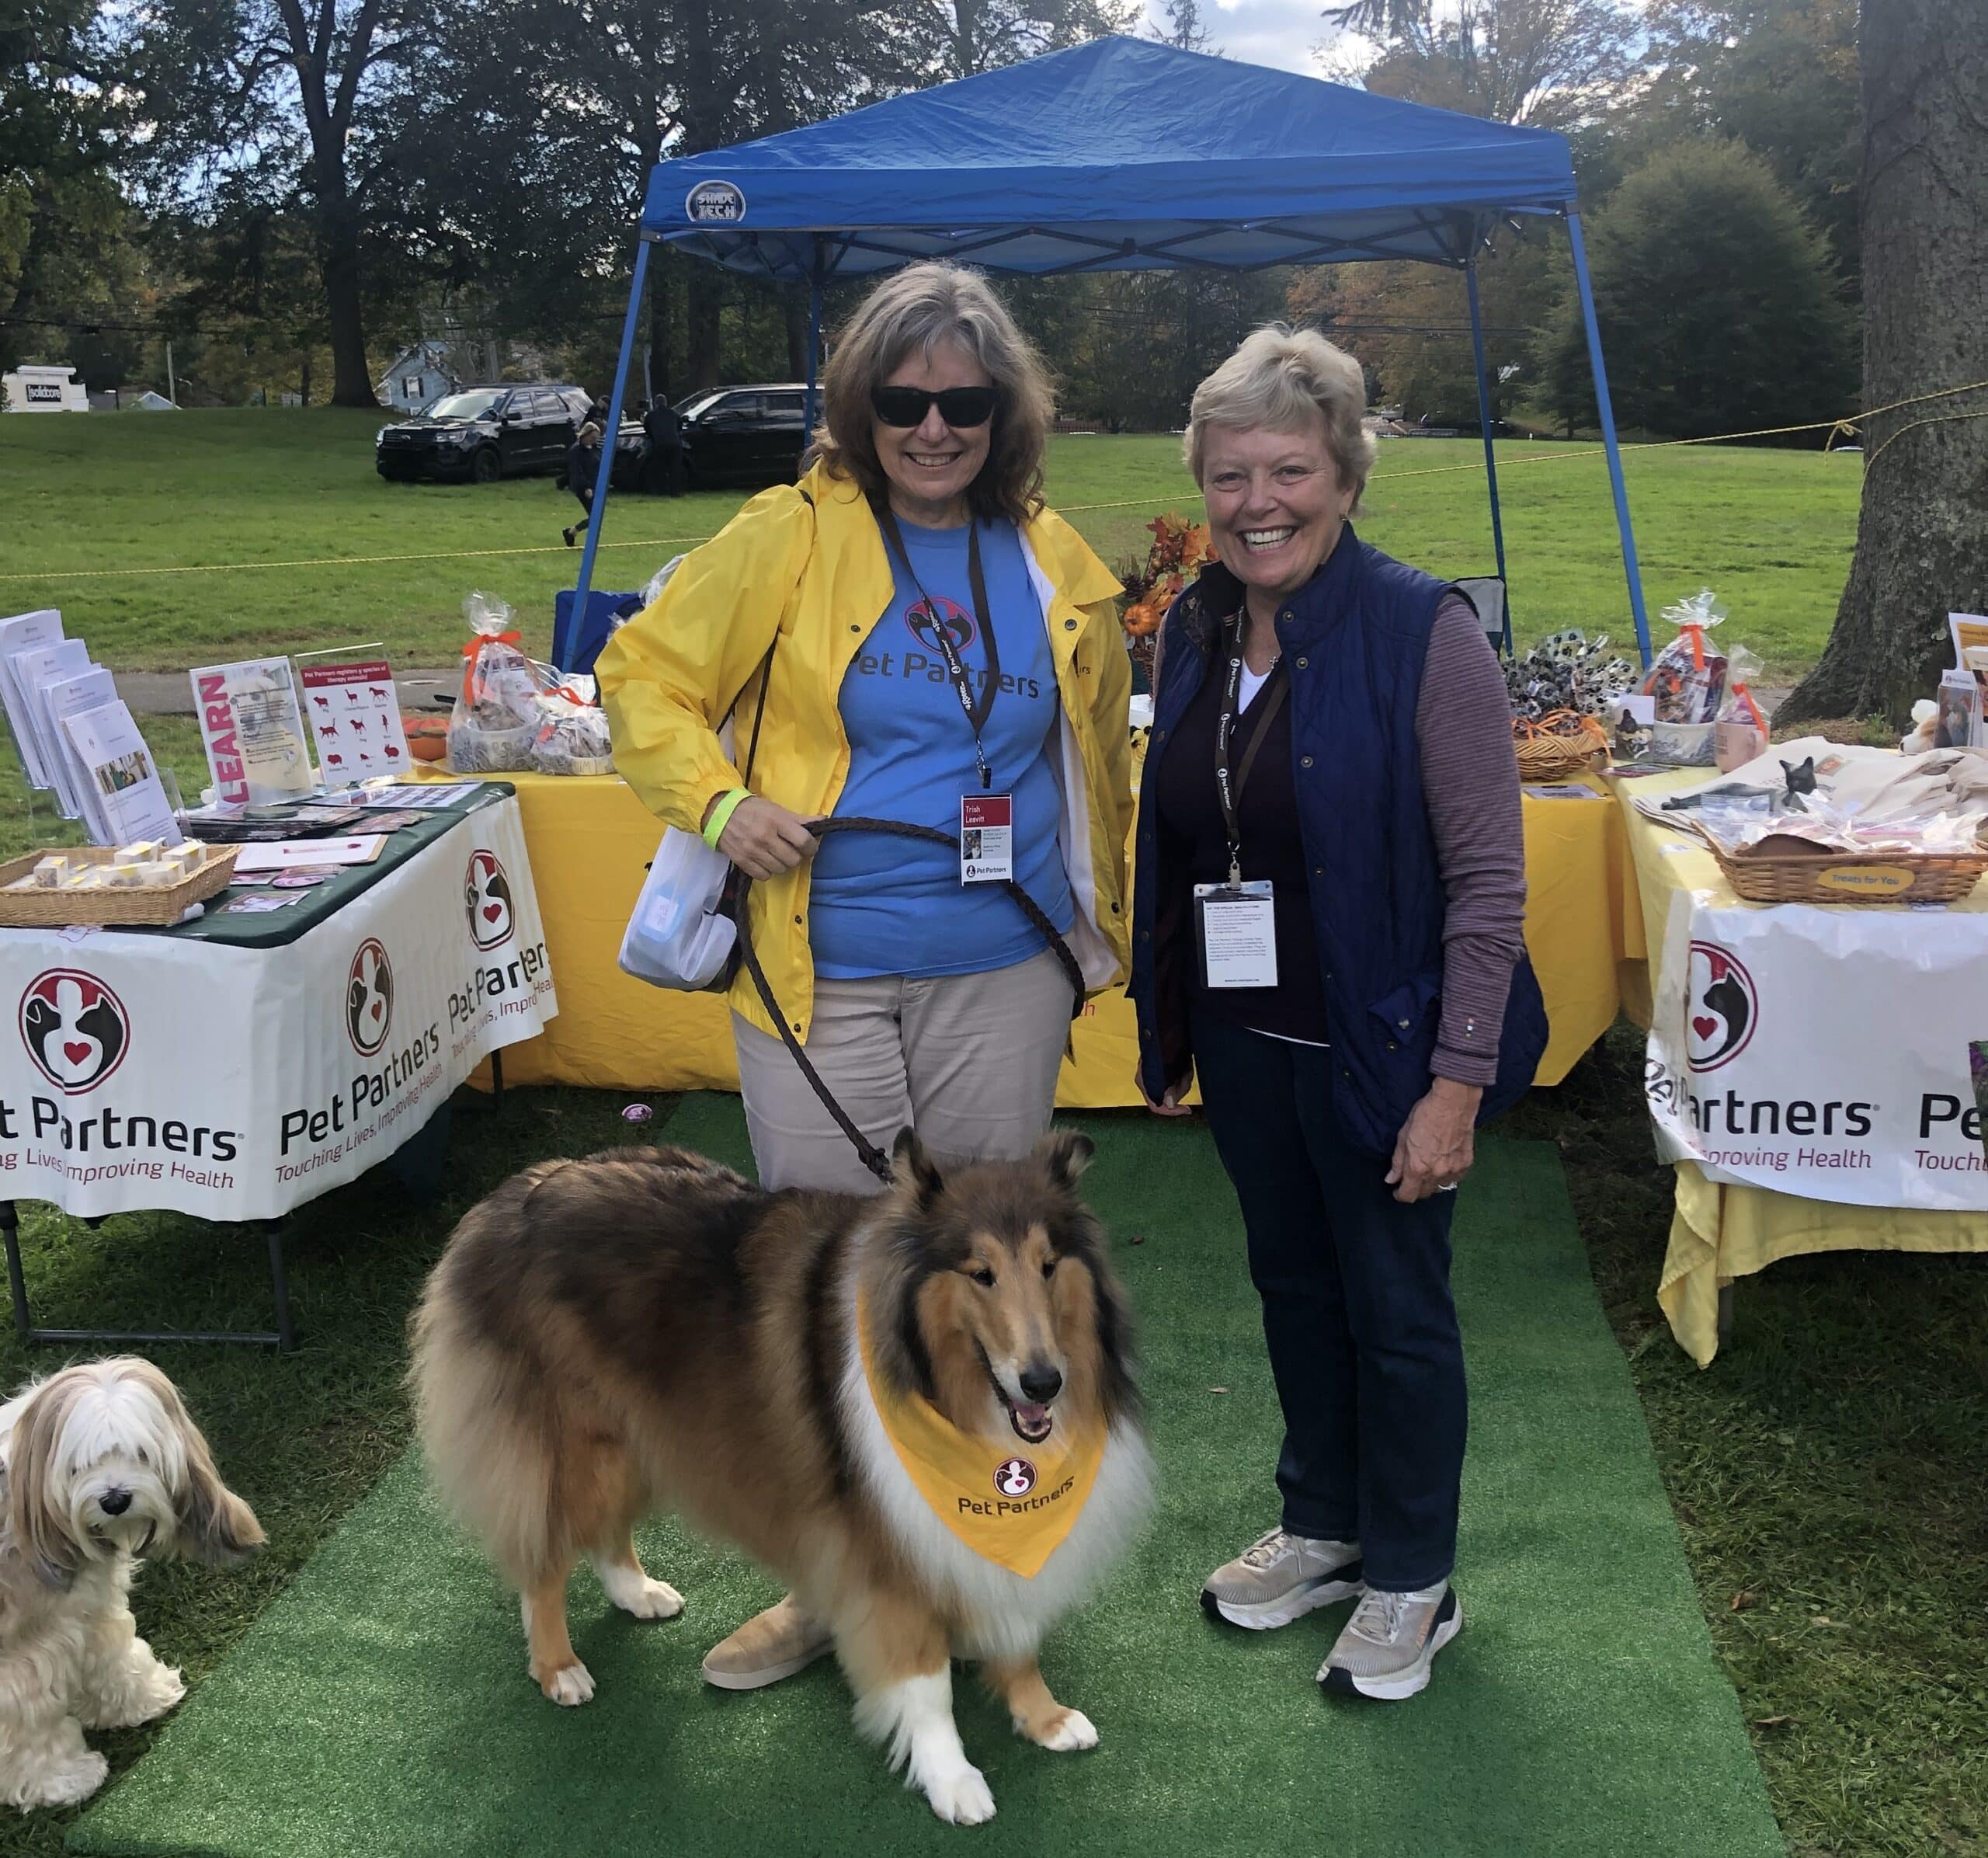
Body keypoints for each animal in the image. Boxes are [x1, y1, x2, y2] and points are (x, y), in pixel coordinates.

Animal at [0, 1360, 264, 1814]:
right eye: (79, 1465)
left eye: (141, 1454)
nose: (115, 1499)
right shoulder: (21, 1659)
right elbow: (31, 1725)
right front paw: (61, 1779)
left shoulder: (89, 1614)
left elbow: (115, 1659)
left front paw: (145, 1697)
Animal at [411, 1129, 1152, 1821]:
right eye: (980, 1273)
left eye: (1049, 1266)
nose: (1044, 1382)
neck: (949, 1398)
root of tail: (513, 1192)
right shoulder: (884, 1549)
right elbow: (925, 1681)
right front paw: (953, 1780)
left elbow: (1017, 1634)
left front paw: (1045, 1718)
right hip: (572, 1446)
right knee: (543, 1557)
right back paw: (559, 1668)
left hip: (635, 1432)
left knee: (603, 1530)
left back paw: (636, 1593)